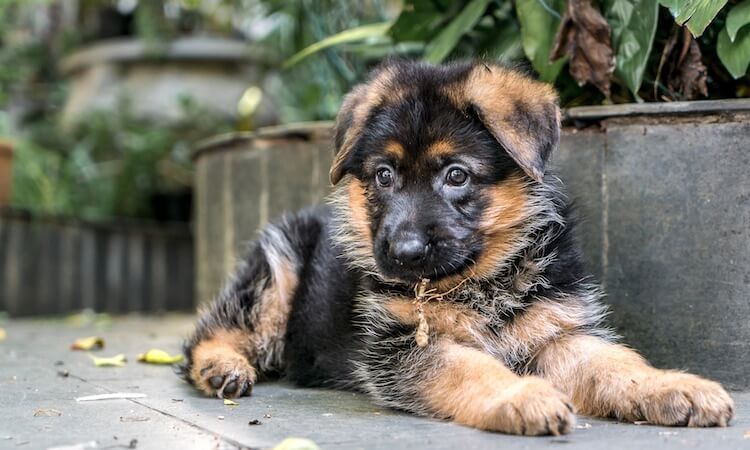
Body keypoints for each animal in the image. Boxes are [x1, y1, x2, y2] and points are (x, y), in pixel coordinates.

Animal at [182, 59, 736, 436]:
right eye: (383, 176)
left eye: (456, 176)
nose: (403, 253)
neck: (478, 279)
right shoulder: (402, 347)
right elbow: (469, 367)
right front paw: (519, 395)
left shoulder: (555, 333)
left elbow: (613, 362)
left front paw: (670, 386)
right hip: (280, 268)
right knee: (209, 333)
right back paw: (222, 366)